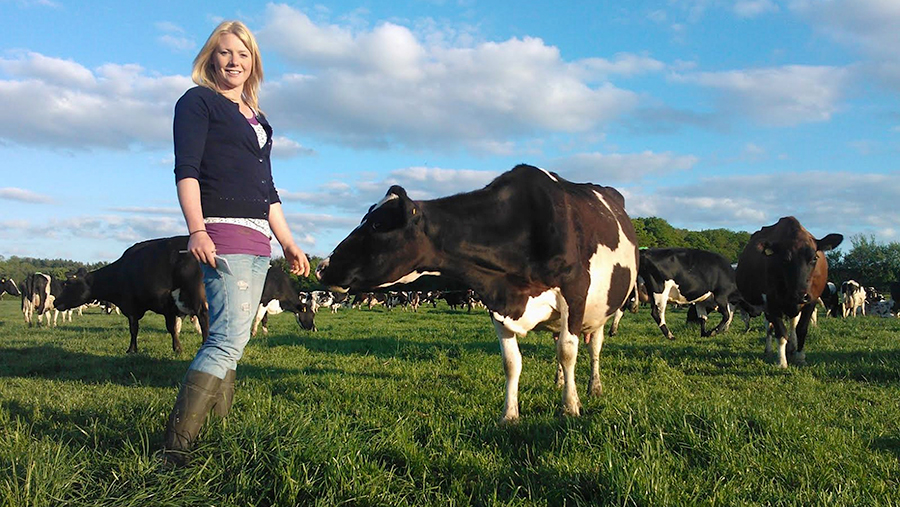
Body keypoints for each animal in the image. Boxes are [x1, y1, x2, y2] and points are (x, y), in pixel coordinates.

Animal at [55, 236, 211, 356]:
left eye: (68, 284)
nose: (56, 302)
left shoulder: (131, 306)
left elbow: (134, 328)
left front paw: (131, 350)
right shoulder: (169, 308)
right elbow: (172, 329)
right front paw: (177, 349)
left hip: (198, 300)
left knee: (204, 320)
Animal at [316, 165, 640, 422]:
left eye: (376, 224)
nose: (321, 267)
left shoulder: (574, 294)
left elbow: (568, 351)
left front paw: (570, 408)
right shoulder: (498, 303)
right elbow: (512, 363)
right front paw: (509, 415)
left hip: (601, 309)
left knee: (593, 348)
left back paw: (593, 387)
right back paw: (560, 382)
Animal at [736, 217, 840, 370]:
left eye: (814, 258)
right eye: (784, 259)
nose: (800, 295)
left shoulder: (811, 300)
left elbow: (801, 329)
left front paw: (800, 357)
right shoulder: (771, 302)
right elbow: (780, 332)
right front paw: (781, 361)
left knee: (793, 324)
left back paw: (792, 348)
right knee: (769, 328)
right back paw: (770, 350)